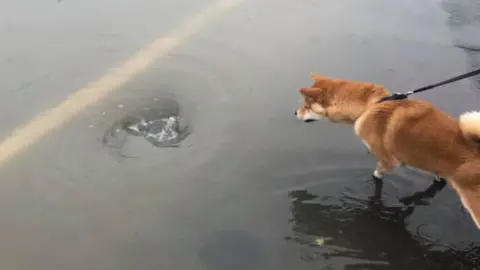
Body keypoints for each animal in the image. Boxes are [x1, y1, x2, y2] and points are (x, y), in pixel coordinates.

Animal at [294, 72, 480, 230]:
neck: (370, 105)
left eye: (306, 106)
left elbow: (377, 176)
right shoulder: (433, 166)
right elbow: (436, 182)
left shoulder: (389, 161)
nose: (295, 112)